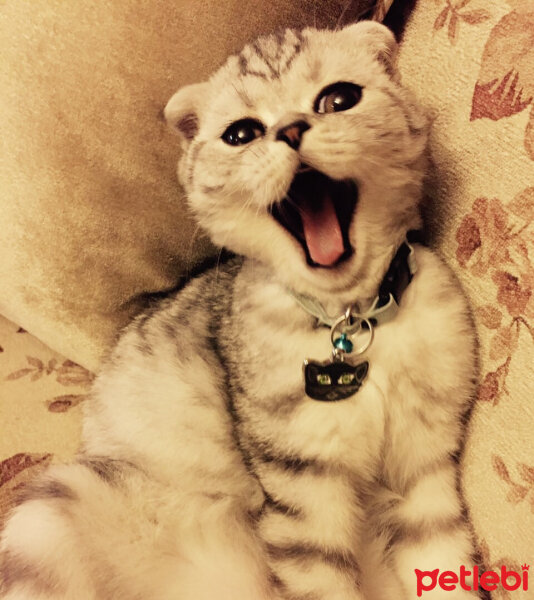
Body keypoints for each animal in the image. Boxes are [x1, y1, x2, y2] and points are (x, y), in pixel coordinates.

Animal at [0, 18, 486, 600]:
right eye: (241, 134)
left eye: (339, 98)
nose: (292, 130)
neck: (352, 317)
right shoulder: (302, 488)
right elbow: (322, 579)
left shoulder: (426, 465)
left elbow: (442, 560)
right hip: (53, 511)